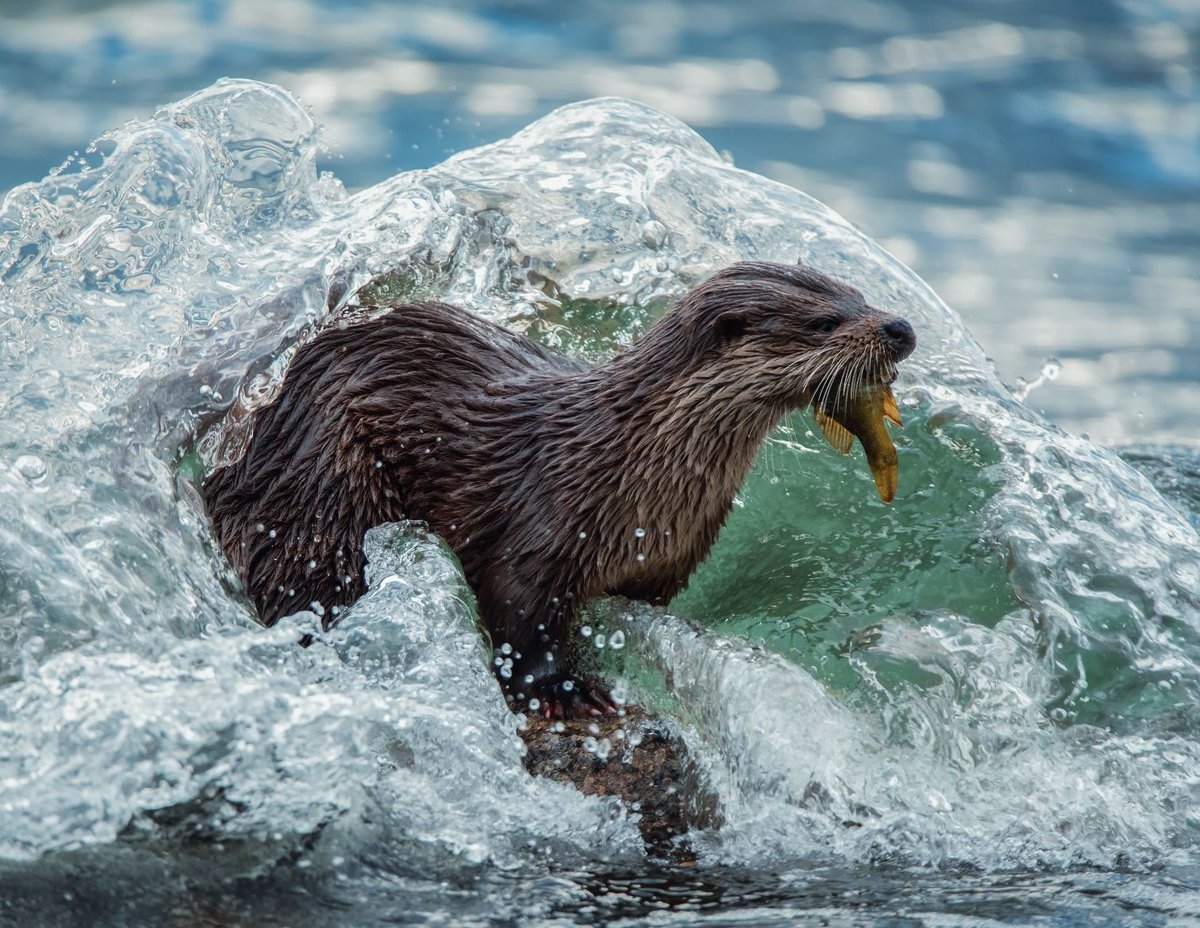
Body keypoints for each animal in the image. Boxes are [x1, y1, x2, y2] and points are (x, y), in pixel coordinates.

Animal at [203, 261, 916, 717]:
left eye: (862, 296)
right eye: (825, 322)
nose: (901, 328)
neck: (633, 466)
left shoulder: (667, 562)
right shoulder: (541, 529)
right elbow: (519, 620)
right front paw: (564, 693)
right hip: (318, 492)